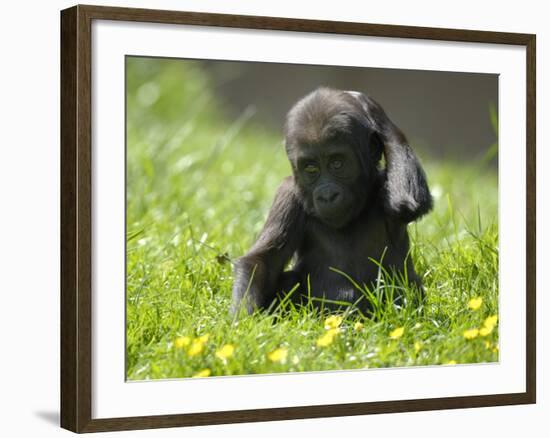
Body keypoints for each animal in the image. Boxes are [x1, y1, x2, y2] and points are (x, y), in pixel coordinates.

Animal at [231, 87, 434, 314]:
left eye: (337, 164)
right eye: (311, 168)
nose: (327, 195)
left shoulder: (386, 185)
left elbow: (407, 203)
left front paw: (369, 107)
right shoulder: (288, 194)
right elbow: (261, 262)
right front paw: (244, 319)